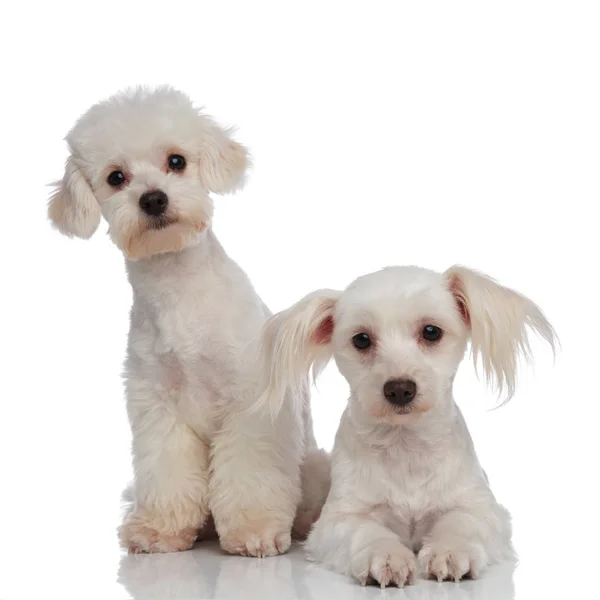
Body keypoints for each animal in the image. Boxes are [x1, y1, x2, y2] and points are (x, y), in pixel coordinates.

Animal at [47, 85, 328, 556]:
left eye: (176, 161)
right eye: (116, 177)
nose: (153, 198)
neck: (179, 291)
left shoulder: (249, 404)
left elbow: (251, 473)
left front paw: (254, 530)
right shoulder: (159, 406)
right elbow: (169, 473)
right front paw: (161, 530)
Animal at [256, 266, 552, 584]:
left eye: (431, 332)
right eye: (361, 339)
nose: (399, 388)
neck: (405, 447)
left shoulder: (482, 510)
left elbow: (460, 522)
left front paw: (449, 550)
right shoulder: (340, 518)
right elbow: (365, 532)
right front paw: (384, 555)